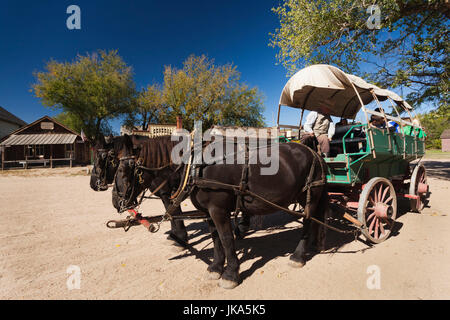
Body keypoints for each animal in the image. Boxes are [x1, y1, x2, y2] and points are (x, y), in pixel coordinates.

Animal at [112, 134, 330, 288]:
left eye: (122, 171)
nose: (116, 202)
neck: (198, 166)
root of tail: (313, 151)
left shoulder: (218, 210)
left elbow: (226, 239)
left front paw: (231, 274)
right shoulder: (208, 212)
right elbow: (216, 238)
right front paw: (216, 267)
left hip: (310, 196)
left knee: (308, 221)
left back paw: (298, 256)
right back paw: (315, 244)